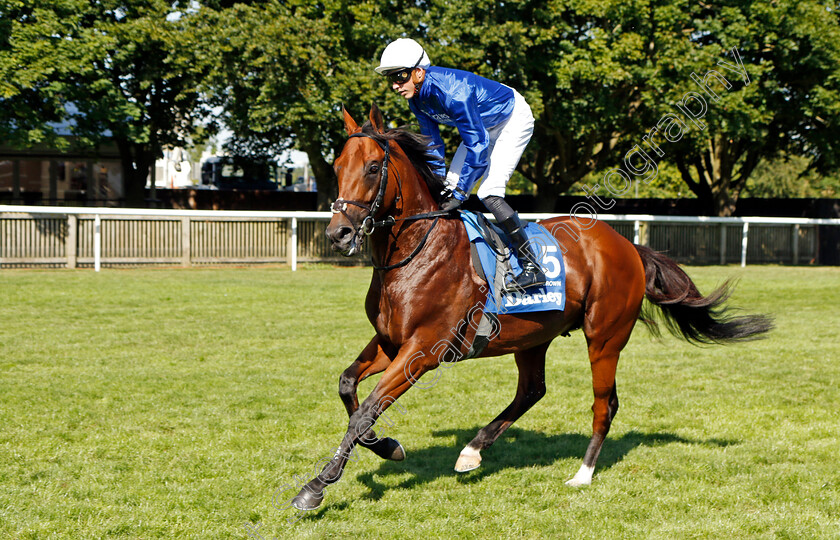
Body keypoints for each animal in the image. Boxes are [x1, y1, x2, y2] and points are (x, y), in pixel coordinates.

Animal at [290, 104, 776, 510]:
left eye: (373, 166)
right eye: (337, 166)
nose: (338, 233)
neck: (417, 251)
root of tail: (628, 246)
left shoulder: (424, 349)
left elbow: (366, 409)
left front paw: (316, 487)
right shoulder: (391, 342)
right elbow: (348, 386)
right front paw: (387, 446)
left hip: (605, 338)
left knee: (605, 403)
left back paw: (582, 474)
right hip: (533, 337)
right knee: (532, 390)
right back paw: (472, 451)